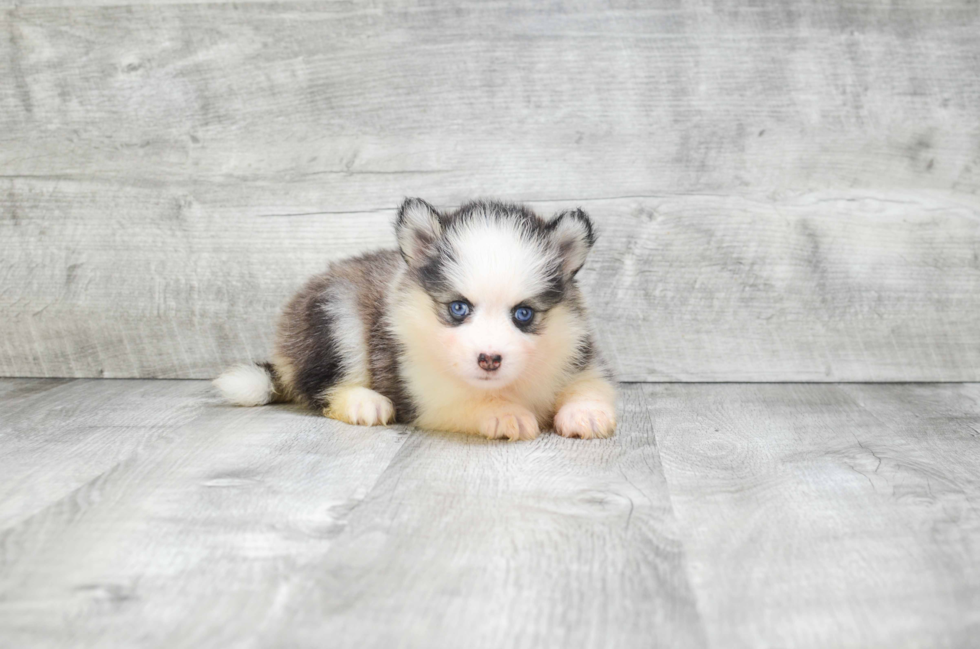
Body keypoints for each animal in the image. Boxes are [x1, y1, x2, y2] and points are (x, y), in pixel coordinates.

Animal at [214, 199, 616, 440]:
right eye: (458, 308)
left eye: (523, 314)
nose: (489, 359)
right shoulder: (424, 389)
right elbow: (469, 400)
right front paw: (504, 413)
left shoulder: (577, 351)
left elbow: (590, 384)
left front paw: (586, 412)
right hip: (335, 314)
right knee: (320, 386)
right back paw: (363, 402)